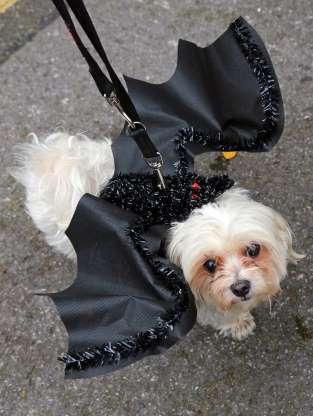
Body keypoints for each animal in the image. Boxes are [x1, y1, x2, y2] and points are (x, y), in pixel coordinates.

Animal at [12, 132, 302, 340]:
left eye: (253, 250)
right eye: (209, 265)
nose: (241, 287)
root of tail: (46, 156)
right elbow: (218, 313)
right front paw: (237, 322)